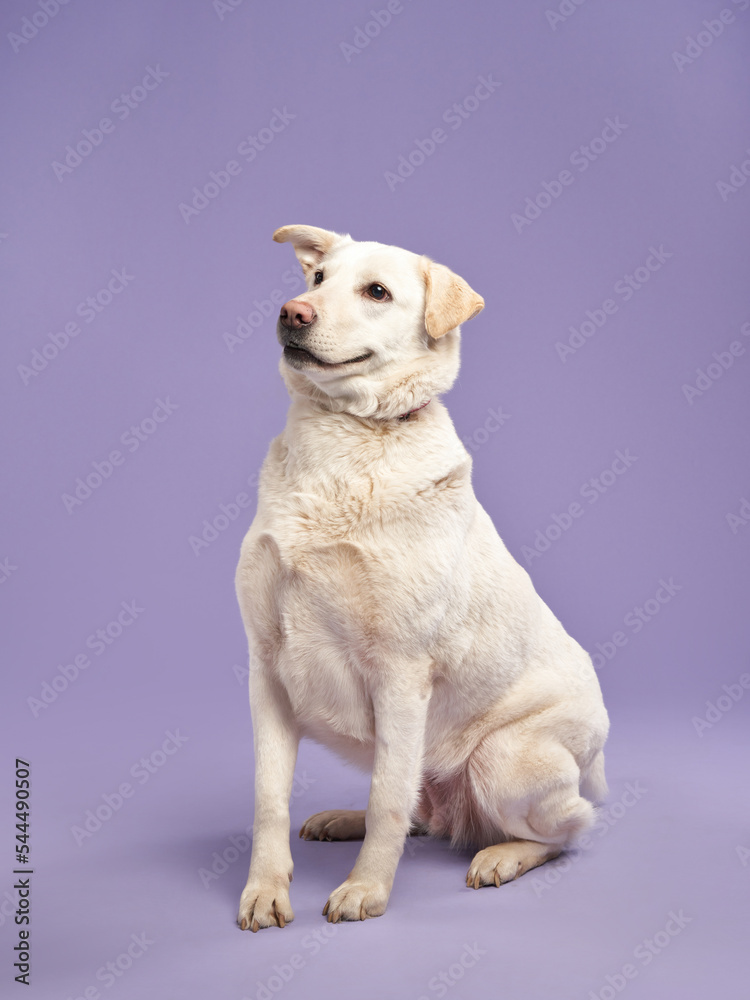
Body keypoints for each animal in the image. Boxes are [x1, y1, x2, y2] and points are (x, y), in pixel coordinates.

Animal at [235, 225, 612, 928]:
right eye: (317, 280)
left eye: (377, 292)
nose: (292, 313)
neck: (345, 438)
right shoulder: (266, 667)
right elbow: (270, 799)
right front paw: (265, 889)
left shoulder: (400, 673)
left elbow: (388, 799)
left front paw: (366, 890)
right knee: (419, 806)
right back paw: (345, 818)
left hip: (502, 758)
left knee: (569, 829)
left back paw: (503, 855)